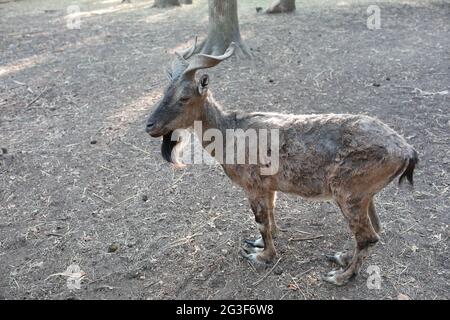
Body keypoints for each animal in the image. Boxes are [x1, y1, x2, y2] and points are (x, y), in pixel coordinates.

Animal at [146, 39, 416, 284]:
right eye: (164, 92)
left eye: (184, 97)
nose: (150, 126)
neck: (230, 133)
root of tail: (407, 151)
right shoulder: (268, 185)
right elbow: (271, 213)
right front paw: (259, 243)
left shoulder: (252, 185)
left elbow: (261, 221)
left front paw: (262, 256)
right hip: (365, 195)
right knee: (375, 230)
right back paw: (342, 257)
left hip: (348, 193)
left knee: (367, 236)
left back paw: (340, 276)